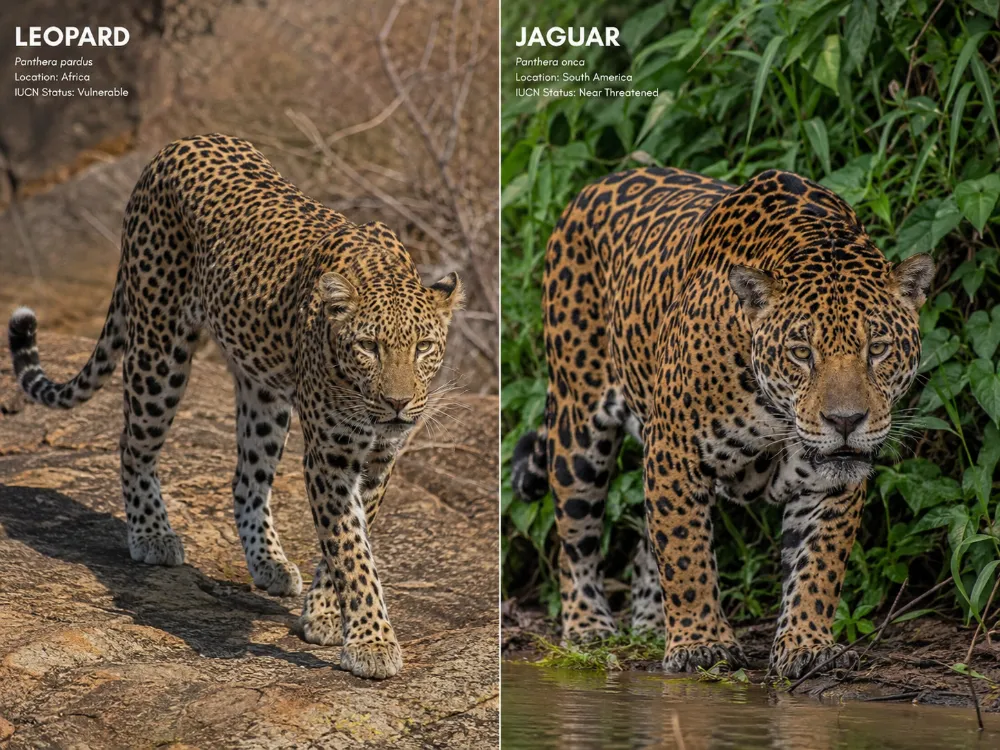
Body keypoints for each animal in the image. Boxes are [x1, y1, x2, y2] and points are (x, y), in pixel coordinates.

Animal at [7, 133, 464, 680]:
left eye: (424, 347)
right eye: (368, 347)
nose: (398, 403)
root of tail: (176, 145)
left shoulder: (377, 459)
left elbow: (351, 539)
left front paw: (326, 615)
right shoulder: (331, 456)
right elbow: (351, 550)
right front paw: (372, 641)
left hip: (263, 391)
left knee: (247, 478)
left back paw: (269, 563)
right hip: (159, 348)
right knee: (133, 446)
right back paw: (152, 534)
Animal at [511, 166, 934, 678]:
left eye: (878, 349)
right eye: (801, 353)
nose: (846, 421)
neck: (776, 412)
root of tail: (598, 184)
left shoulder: (833, 481)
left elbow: (819, 566)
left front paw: (807, 644)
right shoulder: (674, 452)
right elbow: (684, 553)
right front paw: (701, 644)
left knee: (643, 543)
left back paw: (650, 624)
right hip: (578, 426)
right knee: (574, 538)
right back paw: (589, 628)